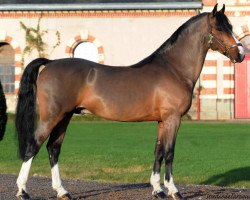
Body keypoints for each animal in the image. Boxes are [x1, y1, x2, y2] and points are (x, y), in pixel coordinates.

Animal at [15, 4, 244, 200]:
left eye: (231, 27)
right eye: (220, 28)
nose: (241, 53)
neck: (173, 69)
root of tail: (50, 63)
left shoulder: (162, 122)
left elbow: (158, 152)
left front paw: (157, 190)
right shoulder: (173, 119)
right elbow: (169, 153)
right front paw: (173, 190)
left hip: (65, 117)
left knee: (53, 149)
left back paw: (62, 191)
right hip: (52, 117)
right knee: (33, 146)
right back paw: (23, 191)